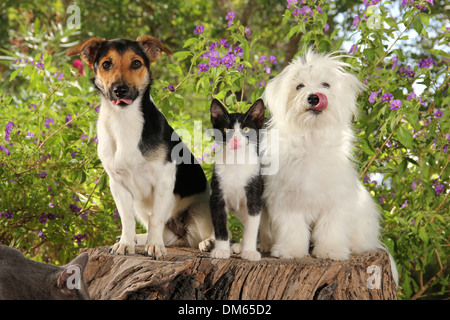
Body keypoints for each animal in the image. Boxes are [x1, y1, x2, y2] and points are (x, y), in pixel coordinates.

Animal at [67, 37, 214, 258]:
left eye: (136, 63)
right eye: (106, 64)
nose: (120, 90)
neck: (124, 120)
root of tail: (183, 234)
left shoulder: (164, 180)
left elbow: (156, 219)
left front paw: (155, 246)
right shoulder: (118, 184)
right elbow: (127, 219)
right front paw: (126, 243)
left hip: (202, 208)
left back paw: (208, 243)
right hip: (142, 208)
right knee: (167, 235)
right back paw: (139, 239)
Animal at [209, 99, 266, 262]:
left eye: (246, 129)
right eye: (226, 130)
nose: (235, 139)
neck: (235, 163)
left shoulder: (254, 196)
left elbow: (252, 226)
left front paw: (250, 251)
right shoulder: (216, 196)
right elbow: (220, 224)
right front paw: (221, 250)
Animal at [264, 48, 398, 282]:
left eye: (325, 84)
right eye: (299, 86)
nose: (314, 96)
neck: (312, 135)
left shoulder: (336, 201)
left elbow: (331, 228)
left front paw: (331, 251)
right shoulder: (286, 200)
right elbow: (292, 228)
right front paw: (290, 251)